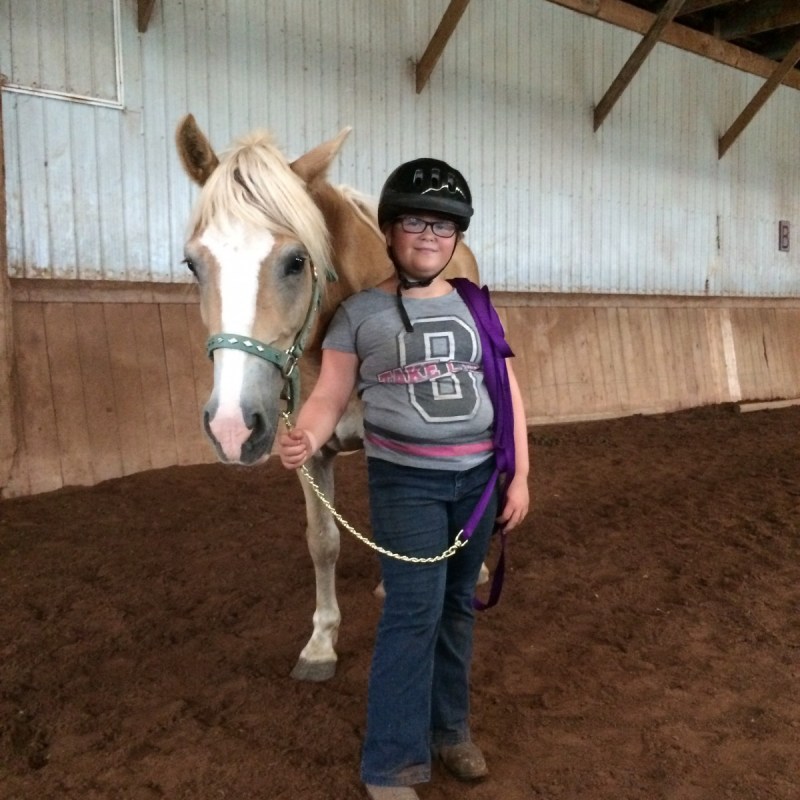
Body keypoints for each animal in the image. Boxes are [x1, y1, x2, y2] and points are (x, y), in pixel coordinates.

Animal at [175, 115, 480, 681]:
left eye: (296, 261)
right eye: (192, 264)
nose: (232, 427)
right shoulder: (310, 452)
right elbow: (323, 542)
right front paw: (320, 643)